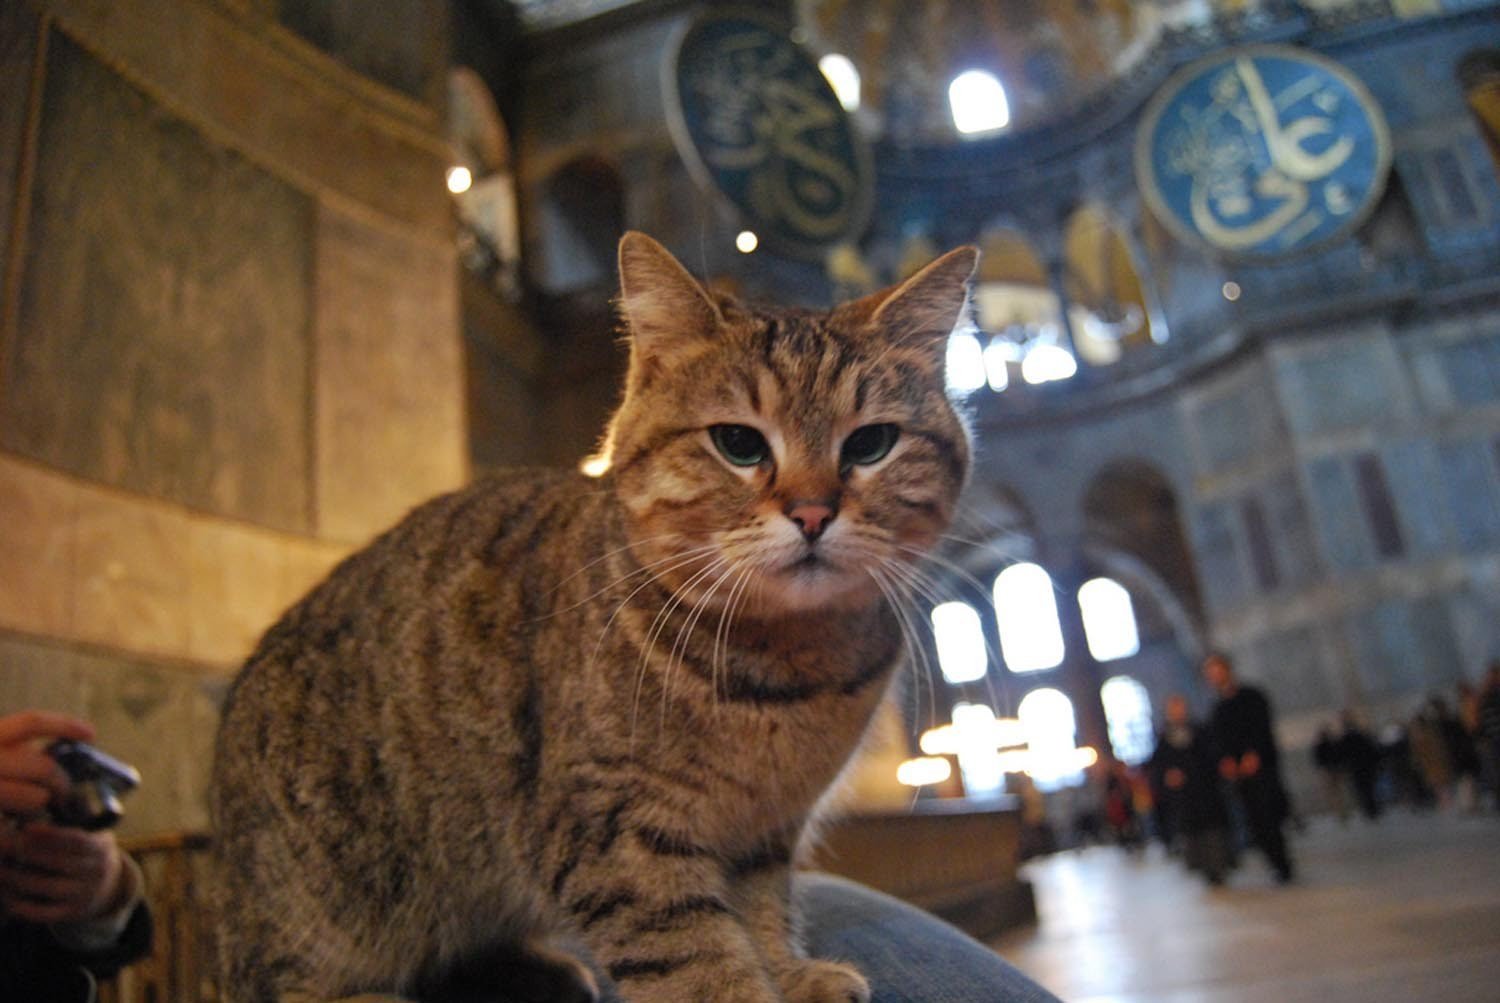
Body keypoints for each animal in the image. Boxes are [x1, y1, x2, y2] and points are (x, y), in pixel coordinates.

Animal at [214, 232, 984, 1001]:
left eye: (870, 443)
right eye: (738, 442)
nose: (814, 511)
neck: (787, 667)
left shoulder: (763, 831)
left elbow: (761, 911)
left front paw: (787, 971)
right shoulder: (616, 829)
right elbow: (693, 956)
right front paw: (746, 985)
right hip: (325, 903)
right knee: (281, 980)